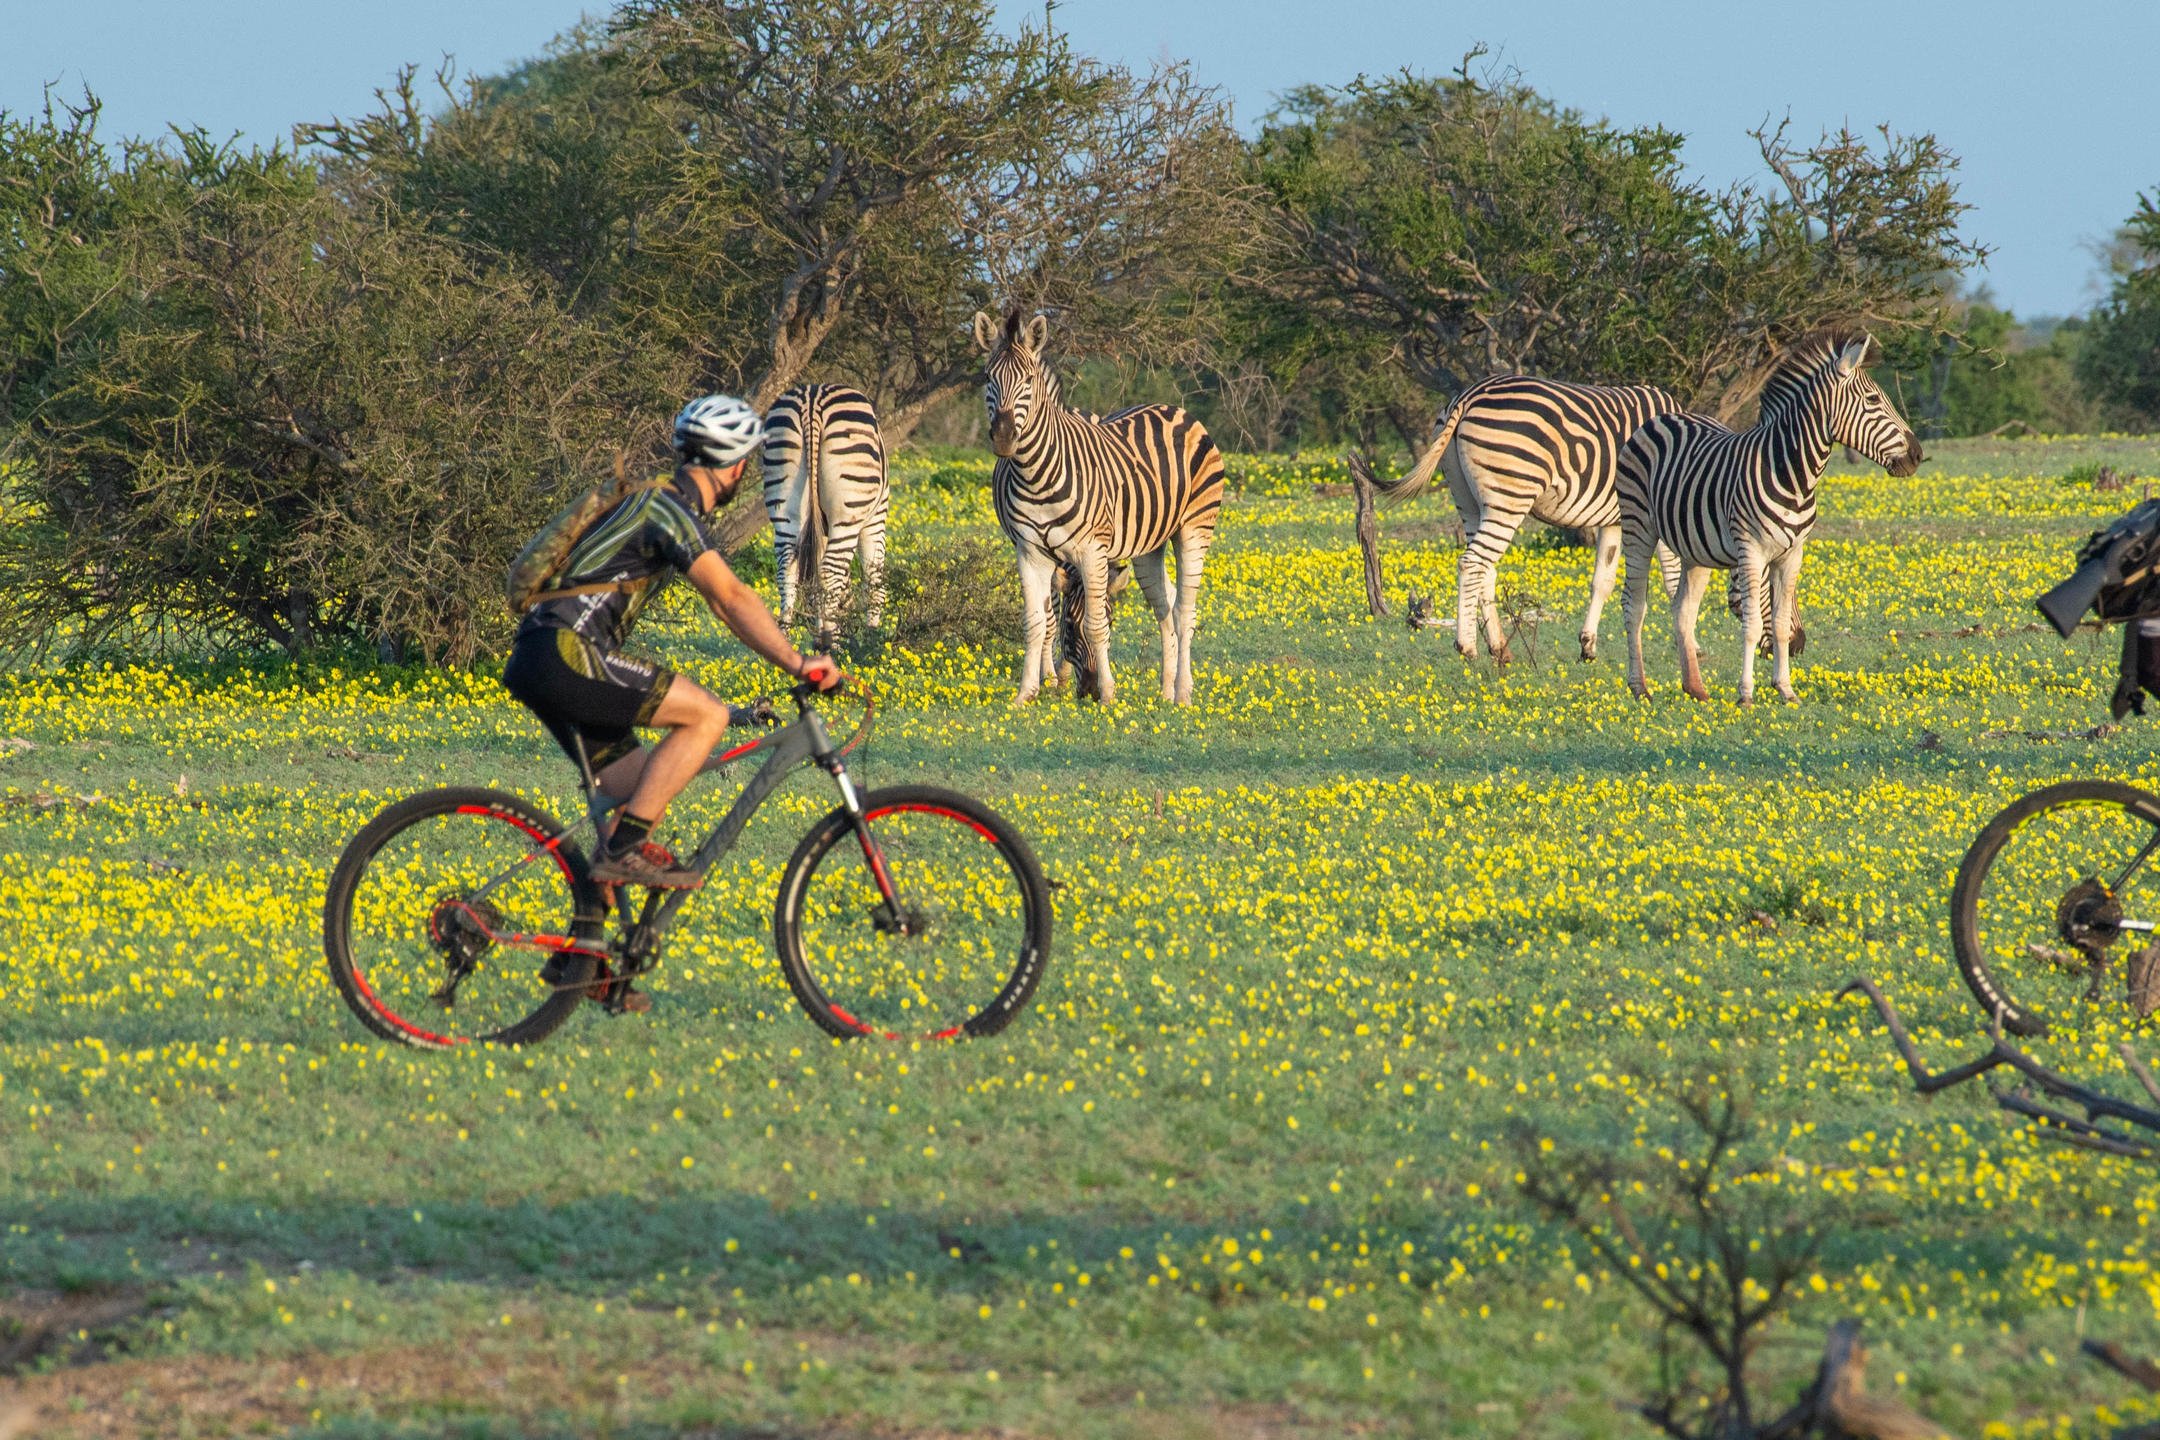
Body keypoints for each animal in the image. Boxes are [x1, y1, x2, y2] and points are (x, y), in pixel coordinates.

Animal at [764, 386, 889, 651]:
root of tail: (812, 402)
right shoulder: (875, 520)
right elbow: (874, 580)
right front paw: (871, 640)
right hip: (849, 511)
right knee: (830, 573)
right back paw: (832, 646)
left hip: (784, 505)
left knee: (787, 571)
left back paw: (784, 643)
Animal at [972, 310, 1226, 703]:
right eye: (987, 377)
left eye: (1029, 379)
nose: (1003, 438)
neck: (1036, 474)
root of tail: (1175, 409)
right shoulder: (1030, 551)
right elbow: (1036, 621)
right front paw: (1027, 693)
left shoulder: (1092, 550)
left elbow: (1093, 623)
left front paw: (1107, 694)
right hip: (1148, 545)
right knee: (1164, 606)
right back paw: (1166, 692)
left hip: (1195, 527)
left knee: (1185, 608)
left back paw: (1183, 693)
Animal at [1356, 371, 1693, 664]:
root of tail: (1466, 397)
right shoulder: (1653, 511)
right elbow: (1673, 577)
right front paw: (1691, 645)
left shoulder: (1613, 520)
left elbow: (1603, 581)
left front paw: (1587, 646)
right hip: (1510, 493)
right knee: (1472, 562)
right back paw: (1468, 647)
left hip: (1468, 499)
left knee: (1485, 567)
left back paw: (1499, 648)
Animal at [1624, 332, 1926, 703]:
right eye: (1872, 399)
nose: (1917, 455)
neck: (1793, 475)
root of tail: (1664, 416)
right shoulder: (1751, 552)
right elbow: (1753, 625)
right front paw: (1746, 694)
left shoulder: (1792, 554)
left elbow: (1780, 624)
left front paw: (1786, 689)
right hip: (1638, 526)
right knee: (1634, 606)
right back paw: (1640, 688)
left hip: (1694, 548)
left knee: (1684, 610)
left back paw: (1696, 688)